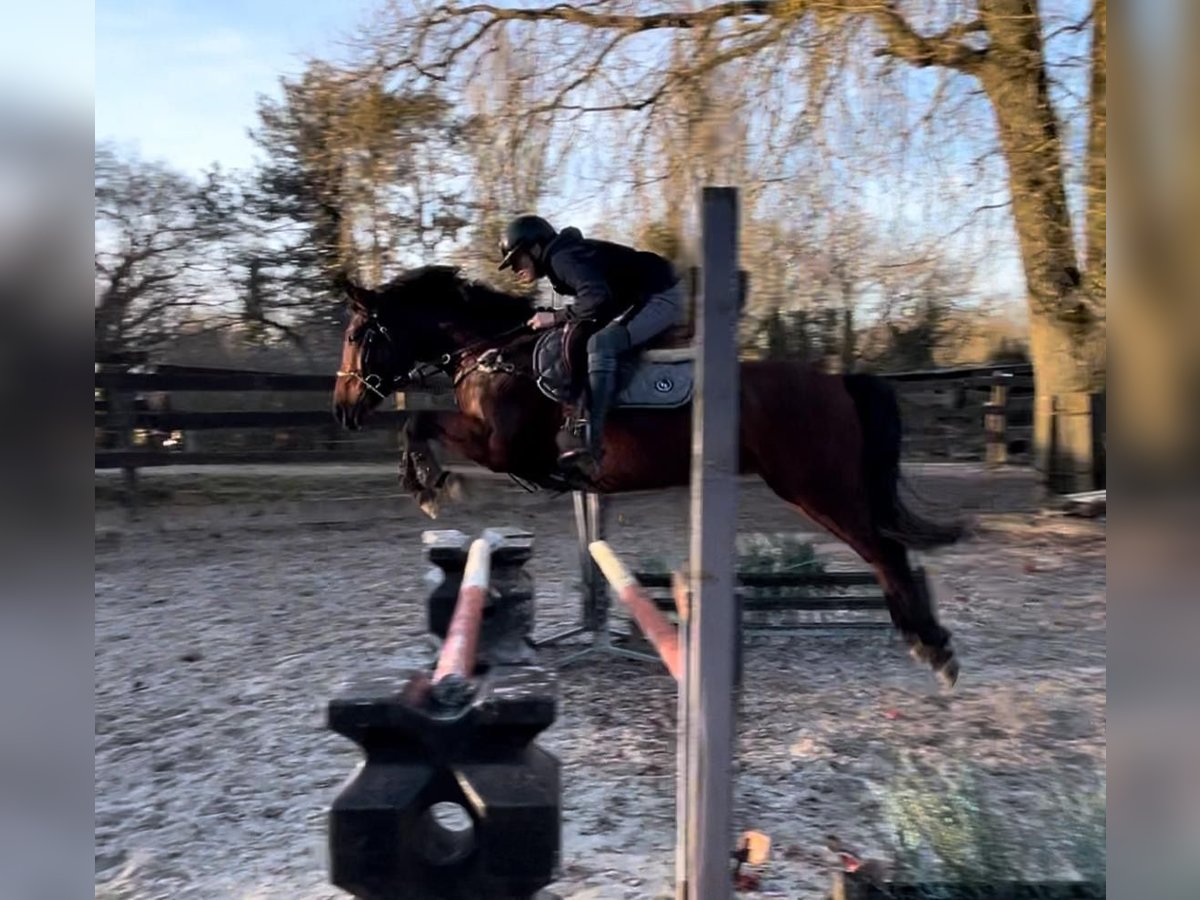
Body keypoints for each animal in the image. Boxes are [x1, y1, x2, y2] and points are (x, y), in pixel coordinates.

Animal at [336, 264, 964, 686]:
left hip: (818, 488)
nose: (342, 409)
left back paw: (932, 647)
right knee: (886, 549)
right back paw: (924, 639)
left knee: (884, 551)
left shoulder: (501, 447)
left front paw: (430, 484)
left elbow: (418, 422)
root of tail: (837, 381)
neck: (493, 354)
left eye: (357, 335)